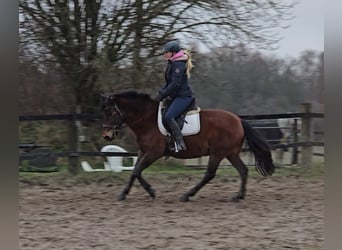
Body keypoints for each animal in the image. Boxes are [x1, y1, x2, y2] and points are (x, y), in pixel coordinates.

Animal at [101, 91, 276, 202]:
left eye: (111, 112)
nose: (106, 135)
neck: (147, 119)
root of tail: (238, 120)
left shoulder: (153, 152)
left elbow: (137, 171)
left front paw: (151, 191)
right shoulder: (143, 151)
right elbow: (134, 173)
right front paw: (124, 194)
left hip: (218, 153)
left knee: (210, 174)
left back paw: (187, 195)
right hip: (230, 153)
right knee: (243, 170)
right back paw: (239, 196)